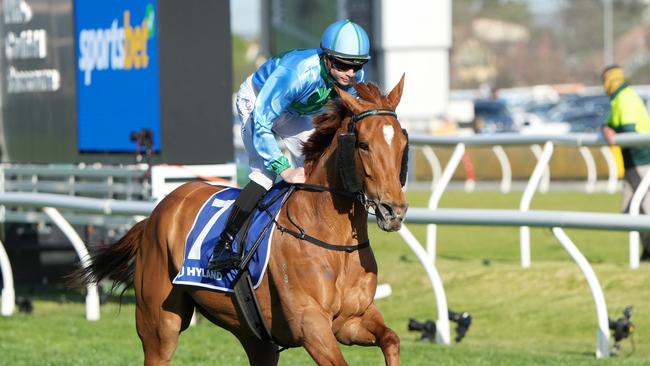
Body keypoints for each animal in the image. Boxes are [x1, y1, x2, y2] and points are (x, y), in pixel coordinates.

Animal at [71, 76, 404, 364]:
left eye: (402, 143)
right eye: (363, 144)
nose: (394, 210)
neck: (331, 237)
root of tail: (157, 212)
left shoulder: (351, 319)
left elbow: (391, 339)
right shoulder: (311, 325)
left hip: (253, 335)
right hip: (159, 325)